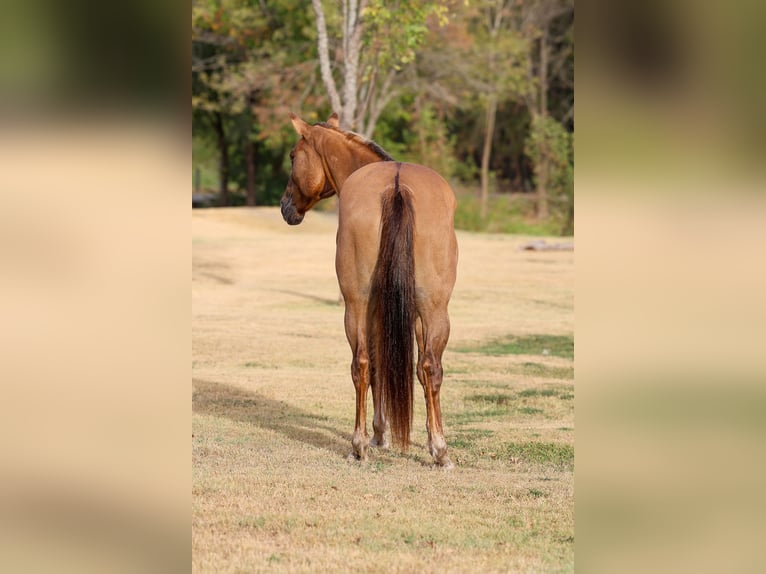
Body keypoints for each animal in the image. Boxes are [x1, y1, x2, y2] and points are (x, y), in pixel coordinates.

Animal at [280, 112, 458, 468]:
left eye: (293, 156)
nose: (285, 206)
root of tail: (396, 185)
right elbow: (413, 369)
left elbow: (379, 365)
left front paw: (380, 433)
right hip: (431, 308)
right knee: (428, 366)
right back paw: (439, 450)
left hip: (358, 305)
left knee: (363, 364)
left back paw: (360, 443)